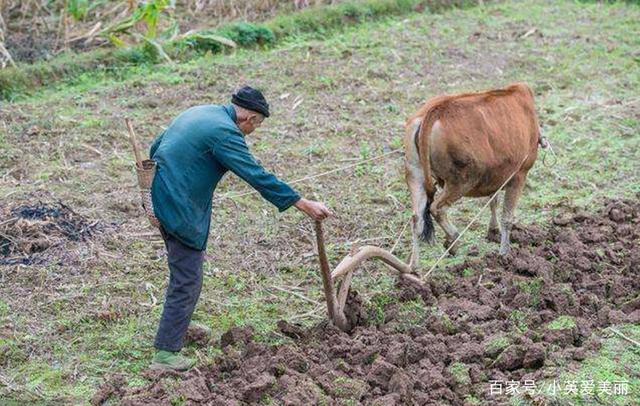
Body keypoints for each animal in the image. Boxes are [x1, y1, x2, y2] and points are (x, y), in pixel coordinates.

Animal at [404, 82, 540, 268]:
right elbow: (507, 217)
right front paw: (504, 254)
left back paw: (414, 266)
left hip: (415, 174)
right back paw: (453, 240)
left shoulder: (497, 175)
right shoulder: (519, 175)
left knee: (417, 219)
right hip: (461, 181)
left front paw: (493, 231)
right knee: (437, 208)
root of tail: (435, 111)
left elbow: (493, 201)